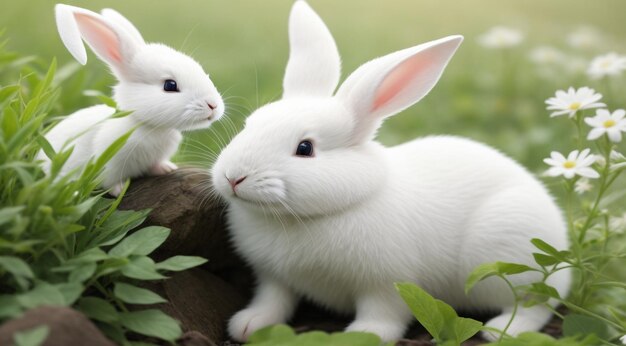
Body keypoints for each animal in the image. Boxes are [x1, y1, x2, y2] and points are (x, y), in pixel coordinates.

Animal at [37, 4, 224, 196]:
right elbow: (110, 180)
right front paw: (119, 190)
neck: (148, 126)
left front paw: (166, 168)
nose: (213, 105)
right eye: (170, 85)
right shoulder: (109, 163)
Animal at [212, 0, 568, 344]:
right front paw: (248, 324)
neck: (300, 218)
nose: (233, 177)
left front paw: (365, 334)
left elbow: (383, 313)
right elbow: (273, 300)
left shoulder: (386, 282)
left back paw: (503, 331)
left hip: (507, 258)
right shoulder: (273, 277)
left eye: (305, 148)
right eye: (249, 124)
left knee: (535, 303)